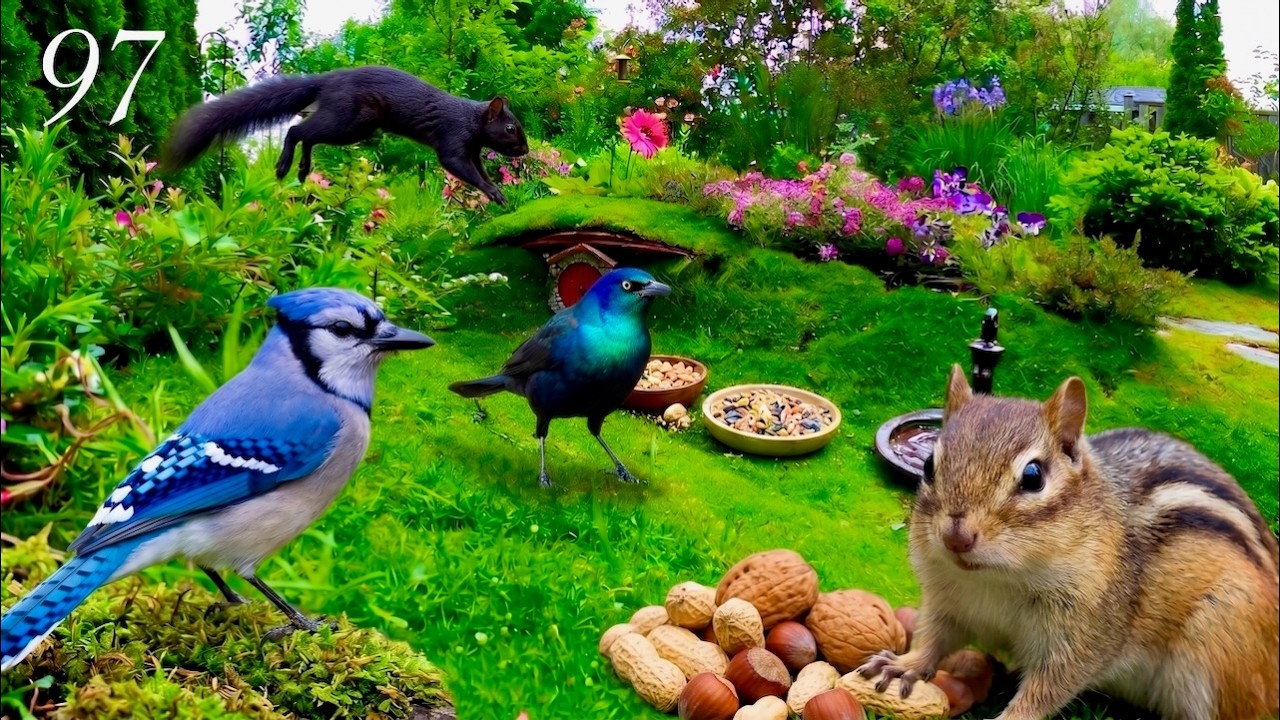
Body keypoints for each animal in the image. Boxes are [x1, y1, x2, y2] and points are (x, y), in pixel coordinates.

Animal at [160, 65, 528, 204]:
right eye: (511, 128)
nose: (525, 149)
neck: (471, 119)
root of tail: (328, 80)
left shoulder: (474, 150)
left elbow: (478, 170)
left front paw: (496, 192)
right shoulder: (453, 139)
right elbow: (459, 166)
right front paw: (494, 192)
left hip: (353, 128)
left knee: (308, 136)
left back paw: (303, 170)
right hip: (348, 121)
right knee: (296, 130)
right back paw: (284, 166)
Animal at [860, 365, 1279, 720]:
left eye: (1033, 476)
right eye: (929, 465)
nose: (956, 537)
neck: (997, 579)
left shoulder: (1087, 634)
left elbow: (1049, 689)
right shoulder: (947, 602)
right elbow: (934, 638)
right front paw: (904, 664)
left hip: (1221, 652)